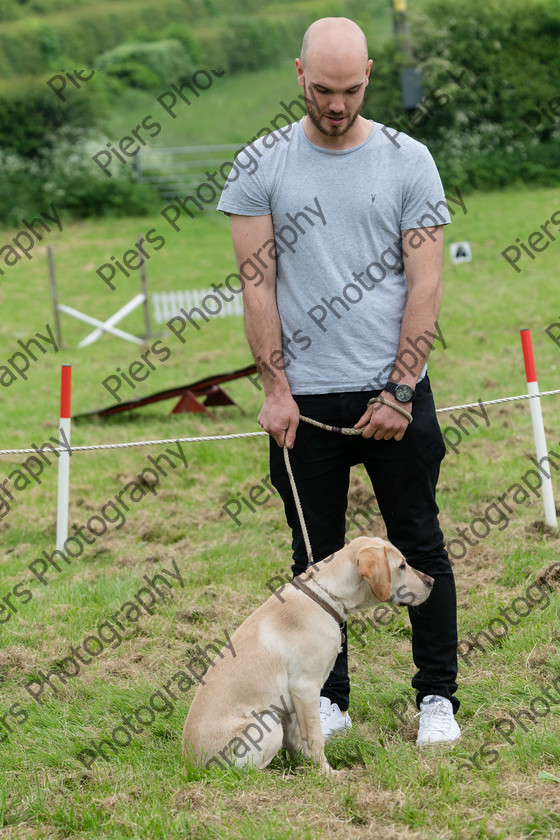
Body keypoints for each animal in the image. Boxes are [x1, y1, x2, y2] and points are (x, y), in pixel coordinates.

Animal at [183, 540, 434, 776]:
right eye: (401, 566)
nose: (432, 581)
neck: (325, 597)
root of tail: (192, 767)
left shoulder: (293, 701)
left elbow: (298, 739)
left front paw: (304, 767)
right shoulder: (305, 688)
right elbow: (315, 739)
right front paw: (326, 774)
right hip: (267, 721)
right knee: (247, 772)